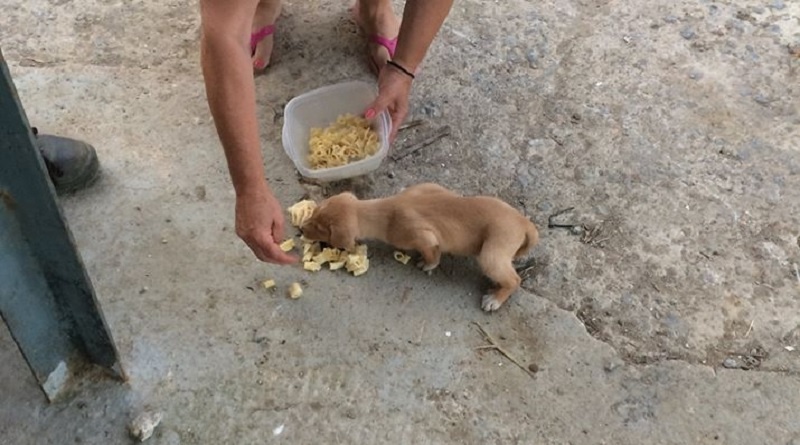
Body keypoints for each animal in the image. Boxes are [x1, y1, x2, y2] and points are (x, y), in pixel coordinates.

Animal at [300, 183, 539, 312]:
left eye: (321, 228)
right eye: (316, 211)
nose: (301, 229)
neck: (384, 210)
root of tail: (524, 222)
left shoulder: (422, 236)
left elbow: (432, 253)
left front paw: (427, 264)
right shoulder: (428, 187)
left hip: (490, 254)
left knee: (514, 280)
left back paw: (495, 300)